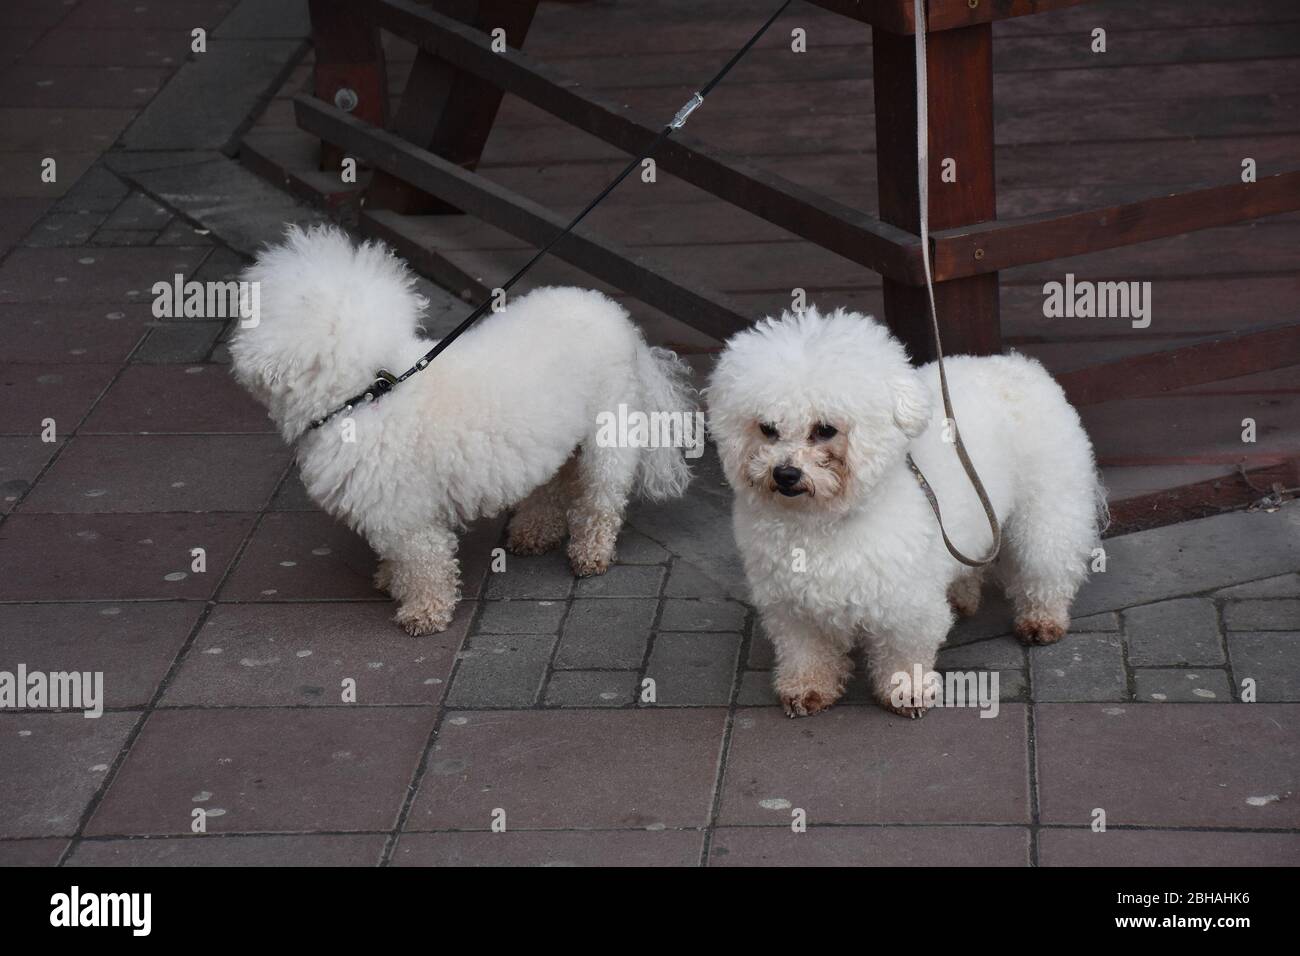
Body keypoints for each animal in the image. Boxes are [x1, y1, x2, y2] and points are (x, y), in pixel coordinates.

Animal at [233, 226, 702, 634]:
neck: (365, 393)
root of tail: (611, 310)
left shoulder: (407, 514)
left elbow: (424, 562)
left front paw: (423, 612)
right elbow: (400, 559)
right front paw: (391, 580)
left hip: (609, 432)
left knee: (602, 497)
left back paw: (591, 552)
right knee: (551, 483)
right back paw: (535, 530)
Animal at [707, 310, 1102, 723]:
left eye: (825, 429)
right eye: (767, 428)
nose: (785, 474)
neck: (821, 522)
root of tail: (1018, 364)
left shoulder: (905, 602)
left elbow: (903, 649)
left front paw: (906, 690)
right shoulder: (791, 605)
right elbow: (805, 650)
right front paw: (806, 687)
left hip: (1049, 508)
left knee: (1048, 566)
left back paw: (1043, 619)